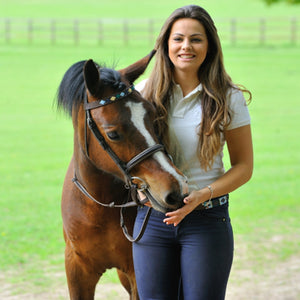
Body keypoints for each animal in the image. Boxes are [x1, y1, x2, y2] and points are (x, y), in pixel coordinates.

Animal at [56, 52, 188, 300]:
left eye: (154, 117)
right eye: (113, 134)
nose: (177, 190)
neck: (100, 207)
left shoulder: (137, 273)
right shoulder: (77, 271)